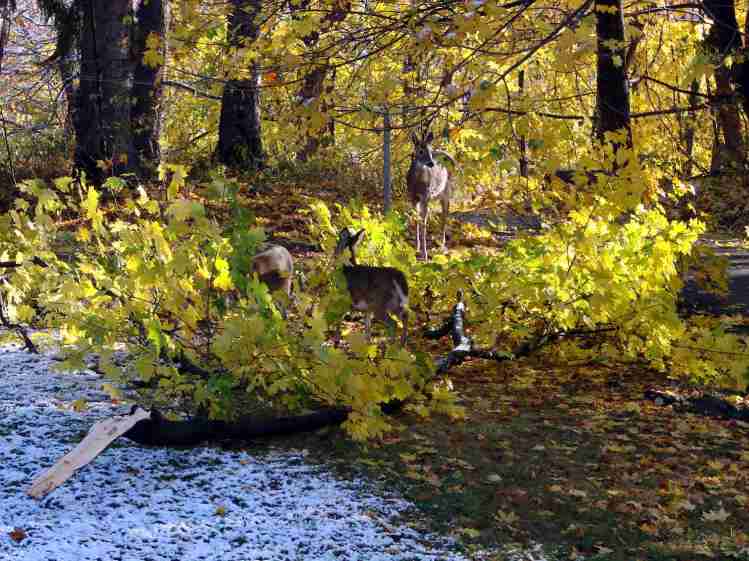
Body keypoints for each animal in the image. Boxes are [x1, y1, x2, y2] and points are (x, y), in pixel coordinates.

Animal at [407, 130, 456, 261]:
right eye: (420, 151)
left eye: (429, 150)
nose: (431, 163)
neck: (417, 183)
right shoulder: (412, 197)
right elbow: (416, 220)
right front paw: (417, 247)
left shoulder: (425, 197)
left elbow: (423, 223)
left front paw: (424, 254)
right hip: (434, 196)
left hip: (446, 192)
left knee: (445, 215)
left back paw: (442, 244)